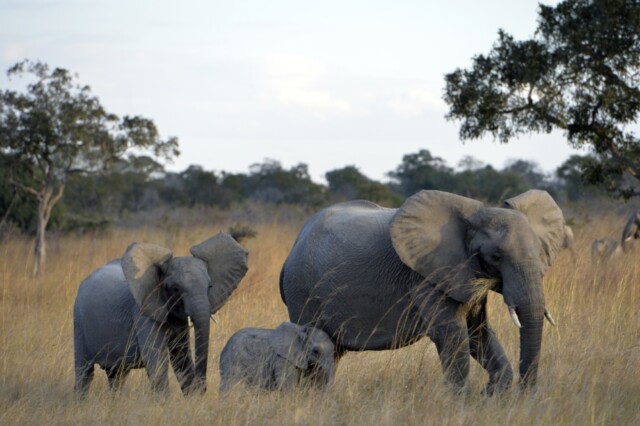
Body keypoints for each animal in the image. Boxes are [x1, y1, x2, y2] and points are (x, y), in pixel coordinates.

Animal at [72, 230, 248, 396]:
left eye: (209, 286)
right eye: (175, 289)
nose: (203, 388)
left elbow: (181, 356)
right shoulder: (142, 311)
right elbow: (156, 359)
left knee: (117, 375)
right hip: (78, 321)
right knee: (84, 372)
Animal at [280, 191, 564, 394]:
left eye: (541, 253)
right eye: (495, 256)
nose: (525, 396)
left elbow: (478, 333)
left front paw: (491, 397)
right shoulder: (425, 276)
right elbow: (451, 335)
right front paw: (463, 405)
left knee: (331, 353)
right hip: (303, 291)